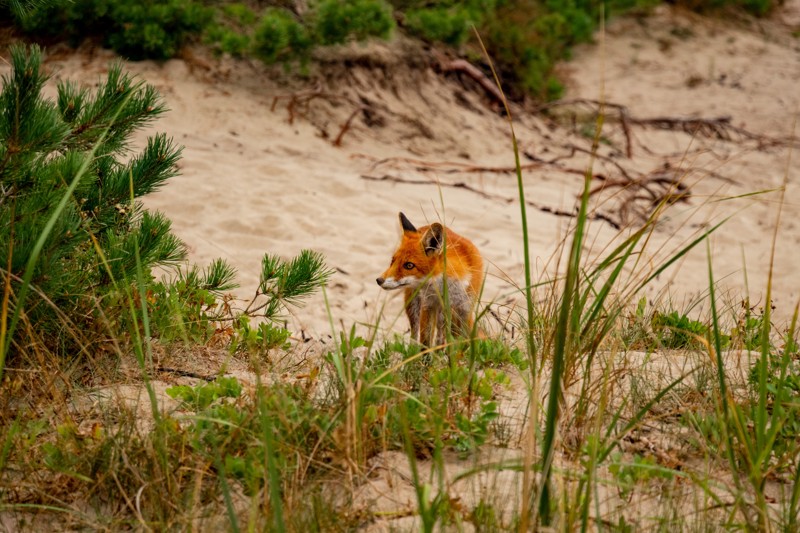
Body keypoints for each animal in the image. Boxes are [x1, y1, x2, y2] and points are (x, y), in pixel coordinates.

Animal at [378, 214, 484, 348]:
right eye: (392, 261)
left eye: (409, 265)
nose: (379, 280)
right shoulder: (428, 306)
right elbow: (425, 341)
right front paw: (424, 354)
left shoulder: (465, 309)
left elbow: (464, 341)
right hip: (414, 305)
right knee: (415, 334)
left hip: (445, 314)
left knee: (440, 337)